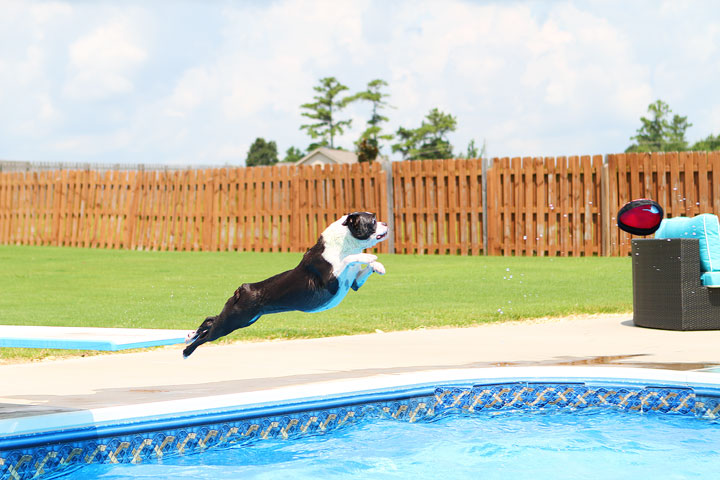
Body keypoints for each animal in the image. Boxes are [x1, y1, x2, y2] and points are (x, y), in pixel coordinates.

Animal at [183, 212, 390, 358]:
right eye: (373, 221)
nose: (386, 223)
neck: (344, 244)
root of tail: (243, 288)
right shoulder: (331, 281)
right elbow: (348, 258)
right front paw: (368, 256)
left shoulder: (353, 283)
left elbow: (362, 268)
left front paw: (377, 266)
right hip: (231, 322)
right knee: (208, 335)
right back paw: (187, 351)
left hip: (242, 319)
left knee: (211, 319)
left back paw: (191, 334)